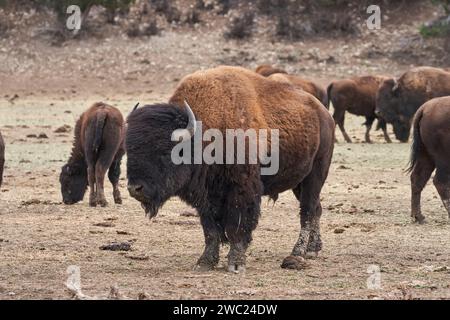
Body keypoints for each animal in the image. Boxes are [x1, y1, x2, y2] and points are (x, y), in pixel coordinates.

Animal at [126, 65, 334, 272]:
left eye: (164, 151)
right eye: (129, 149)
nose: (135, 188)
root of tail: (324, 115)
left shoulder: (241, 190)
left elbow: (237, 226)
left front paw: (236, 263)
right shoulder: (207, 197)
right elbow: (210, 230)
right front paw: (205, 262)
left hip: (315, 175)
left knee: (307, 211)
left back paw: (298, 252)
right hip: (299, 182)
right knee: (316, 208)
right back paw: (313, 249)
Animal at [408, 96, 450, 224]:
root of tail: (425, 108)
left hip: (426, 156)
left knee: (417, 178)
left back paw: (418, 217)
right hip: (443, 160)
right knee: (440, 181)